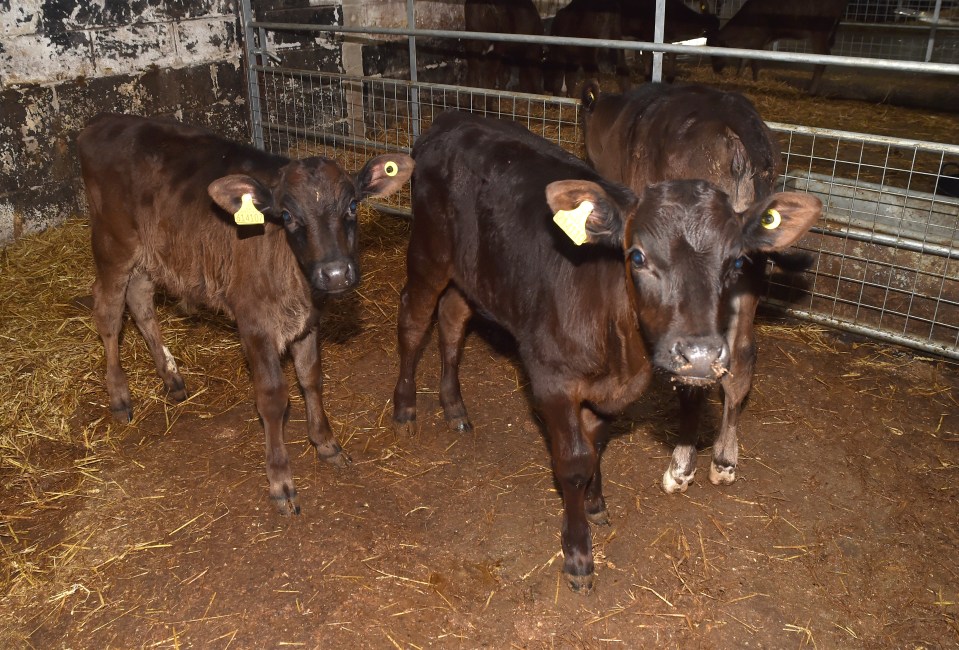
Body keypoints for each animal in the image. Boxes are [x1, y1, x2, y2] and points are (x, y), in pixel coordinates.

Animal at [708, 0, 852, 94]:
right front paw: (737, 77)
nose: (716, 70)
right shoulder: (754, 42)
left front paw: (755, 81)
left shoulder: (759, 39)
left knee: (823, 57)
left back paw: (810, 91)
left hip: (819, 32)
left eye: (716, 54)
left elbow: (754, 62)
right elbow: (743, 60)